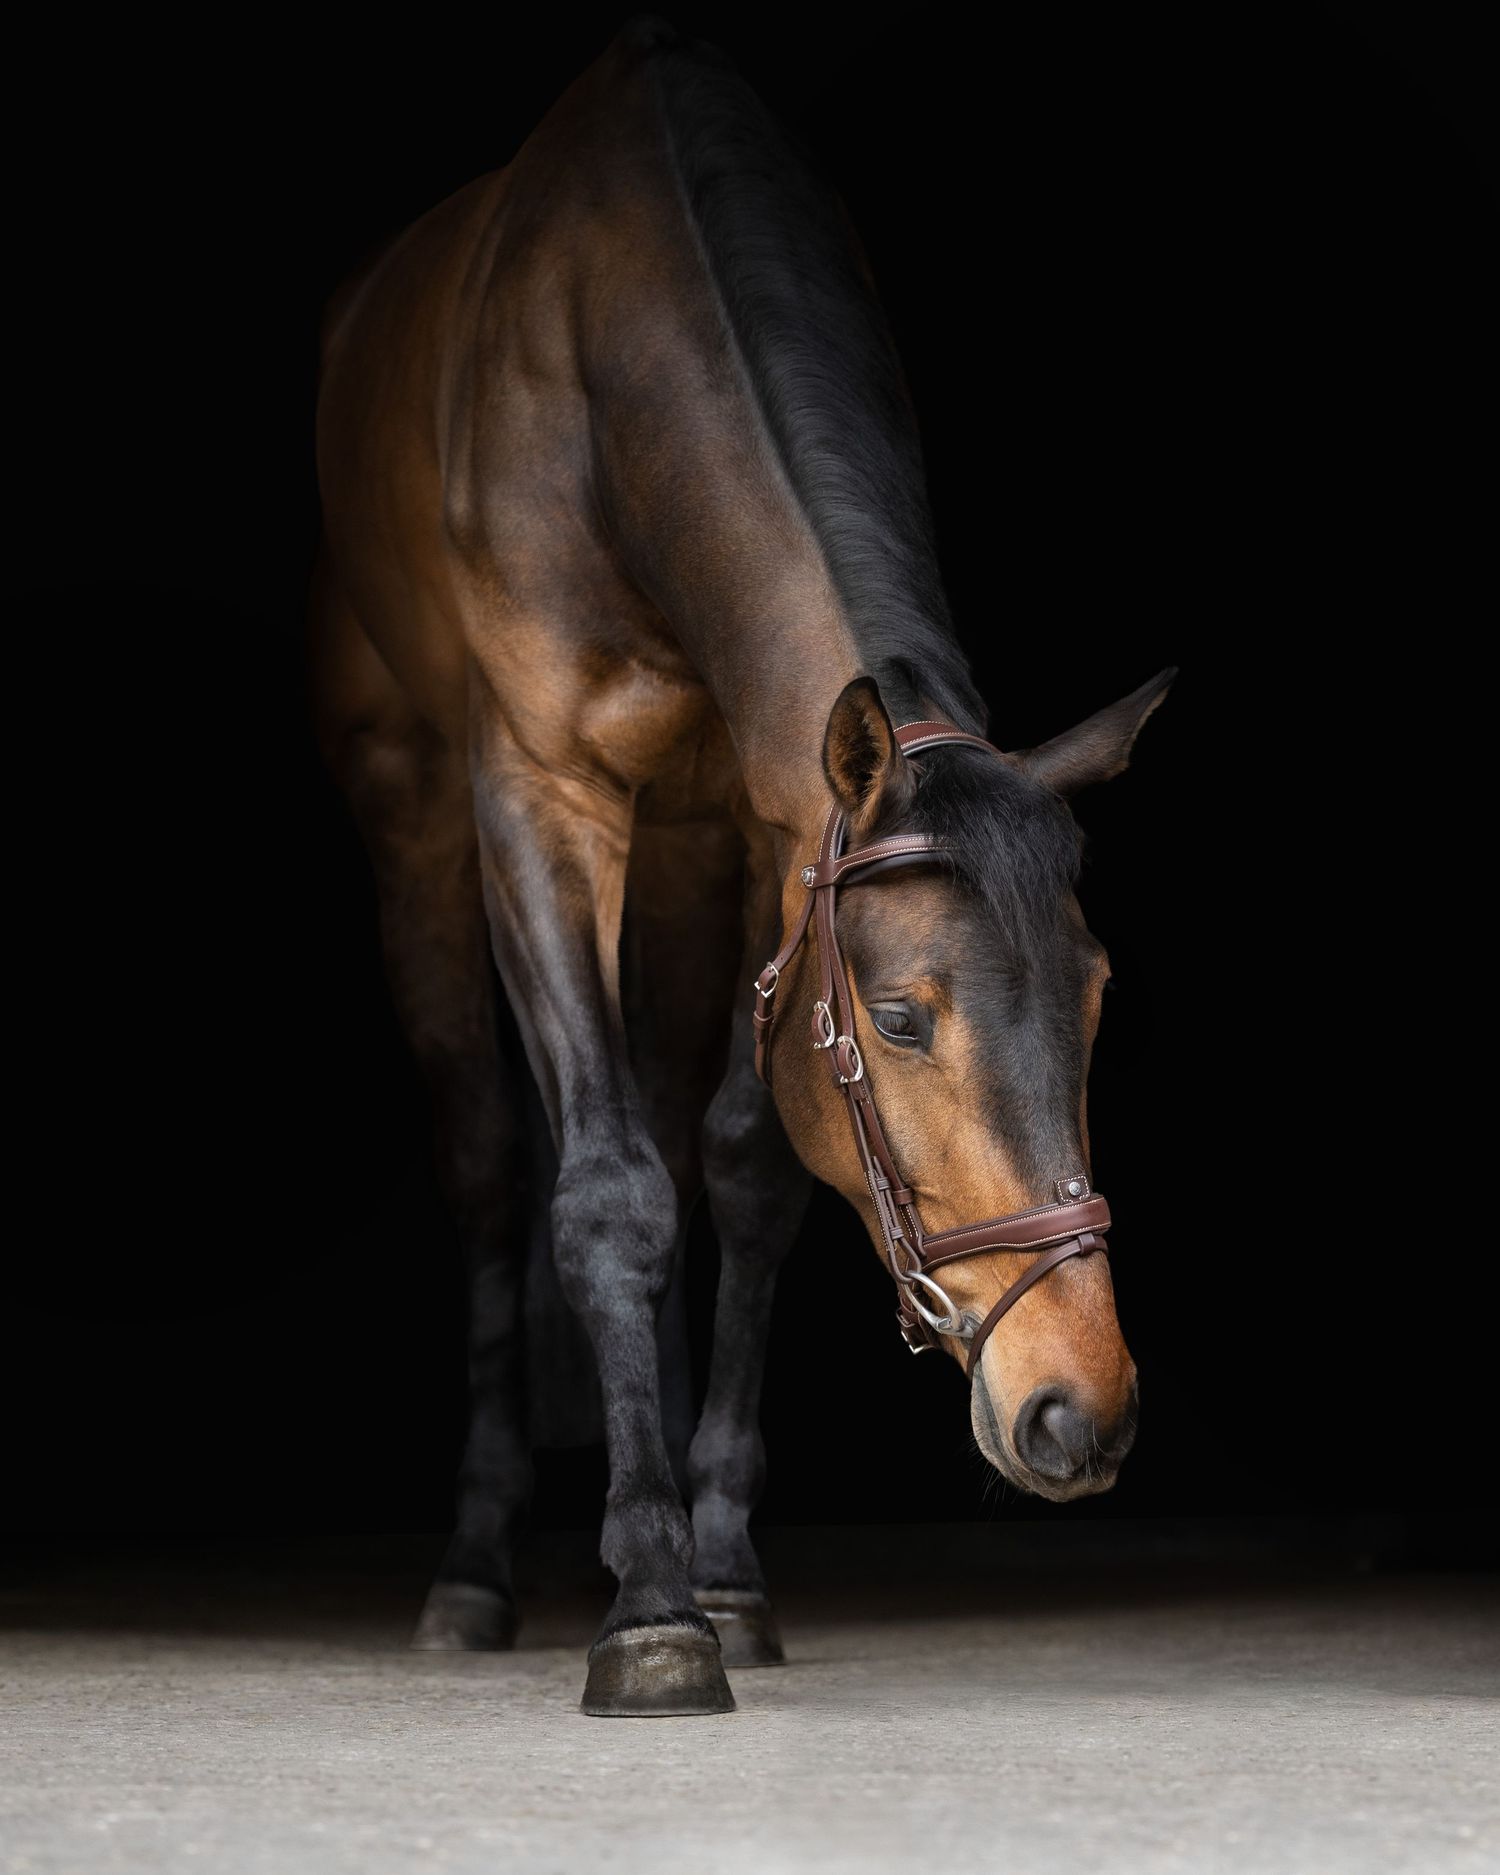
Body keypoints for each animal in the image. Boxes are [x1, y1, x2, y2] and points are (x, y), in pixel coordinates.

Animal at [308, 13, 1172, 1717]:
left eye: (1102, 1003)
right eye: (901, 1018)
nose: (1077, 1405)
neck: (607, 356)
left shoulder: (763, 831)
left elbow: (745, 1171)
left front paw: (714, 1565)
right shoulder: (540, 791)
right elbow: (603, 1190)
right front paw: (647, 1609)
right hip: (413, 814)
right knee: (494, 1166)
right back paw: (480, 1563)